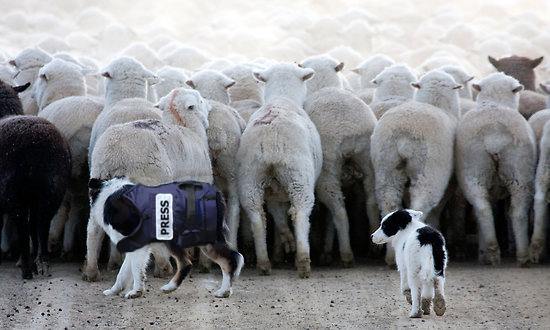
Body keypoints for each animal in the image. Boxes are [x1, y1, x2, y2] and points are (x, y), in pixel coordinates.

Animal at [0, 80, 71, 278]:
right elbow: (34, 227)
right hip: (53, 189)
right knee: (41, 224)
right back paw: (41, 262)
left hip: (15, 192)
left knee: (23, 225)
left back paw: (26, 268)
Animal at [88, 178, 244, 300]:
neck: (109, 195)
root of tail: (216, 193)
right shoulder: (133, 246)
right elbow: (123, 272)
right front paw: (114, 290)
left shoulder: (137, 245)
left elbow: (136, 270)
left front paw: (136, 292)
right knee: (189, 262)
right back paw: (171, 287)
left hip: (192, 238)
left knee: (230, 259)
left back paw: (223, 291)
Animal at [238, 63, 324, 278]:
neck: (283, 97)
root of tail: (270, 137)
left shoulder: (274, 192)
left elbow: (278, 217)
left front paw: (284, 241)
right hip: (299, 176)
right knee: (300, 212)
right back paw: (303, 262)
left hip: (250, 177)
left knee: (257, 217)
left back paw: (264, 262)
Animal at [374, 70, 464, 266]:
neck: (435, 103)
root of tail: (404, 131)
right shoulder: (449, 183)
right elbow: (439, 207)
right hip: (429, 171)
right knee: (421, 202)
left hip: (387, 166)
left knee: (389, 201)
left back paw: (391, 254)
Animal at [458, 72, 540, 266]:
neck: (494, 102)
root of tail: (494, 134)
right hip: (520, 172)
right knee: (517, 212)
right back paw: (520, 254)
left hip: (475, 170)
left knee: (483, 209)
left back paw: (492, 251)